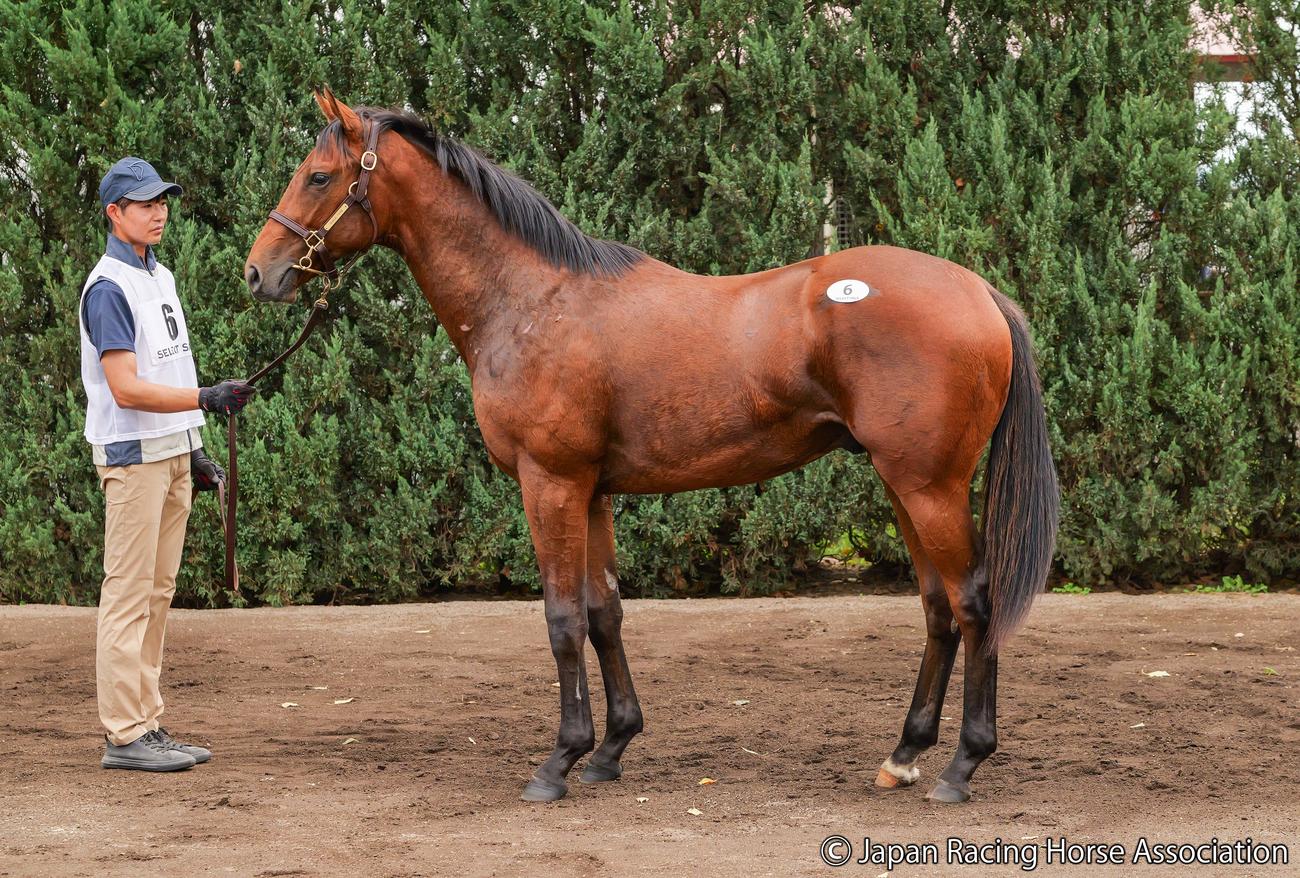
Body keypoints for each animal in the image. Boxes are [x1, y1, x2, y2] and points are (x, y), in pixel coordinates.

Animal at [244, 89, 1059, 804]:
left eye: (319, 176)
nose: (259, 271)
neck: (532, 300)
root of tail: (980, 292)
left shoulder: (550, 483)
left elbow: (563, 619)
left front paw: (558, 762)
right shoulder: (594, 491)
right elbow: (604, 613)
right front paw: (609, 750)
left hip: (929, 486)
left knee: (974, 602)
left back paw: (961, 766)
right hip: (903, 486)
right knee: (937, 608)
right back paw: (904, 755)